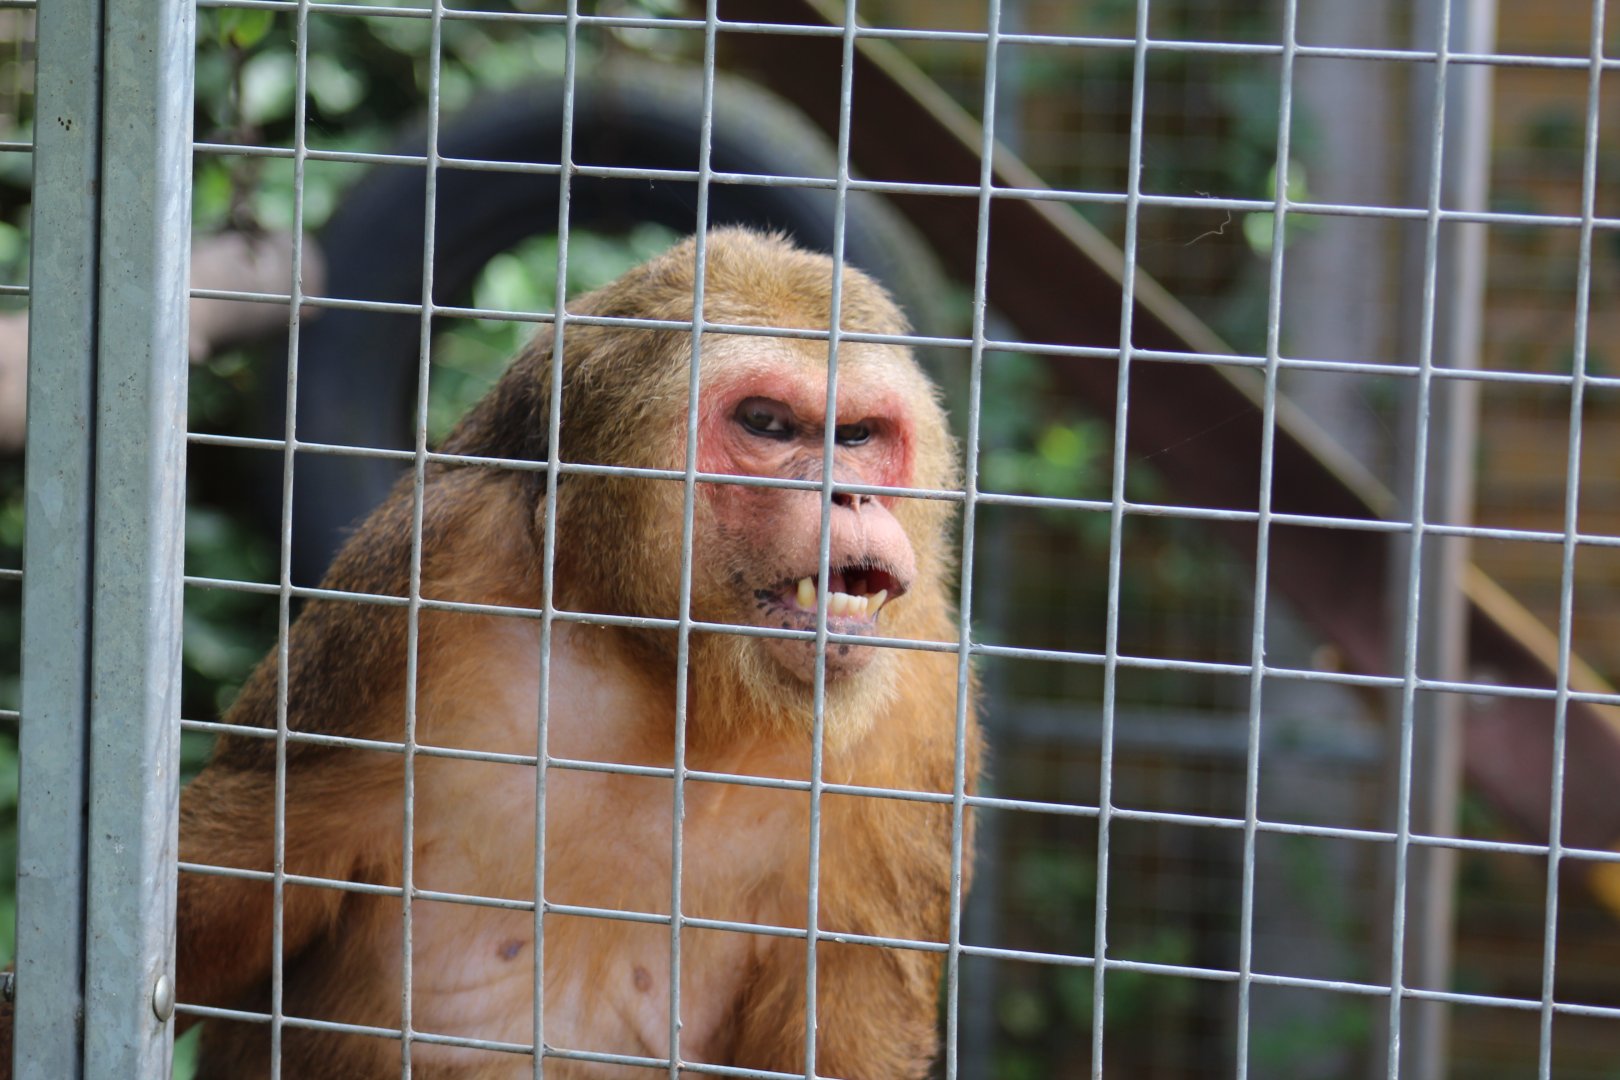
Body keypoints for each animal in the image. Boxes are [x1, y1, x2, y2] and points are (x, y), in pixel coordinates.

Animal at [127, 229, 979, 1078]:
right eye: (767, 423)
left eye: (858, 436)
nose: (849, 494)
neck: (670, 674)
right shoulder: (433, 571)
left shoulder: (923, 704)